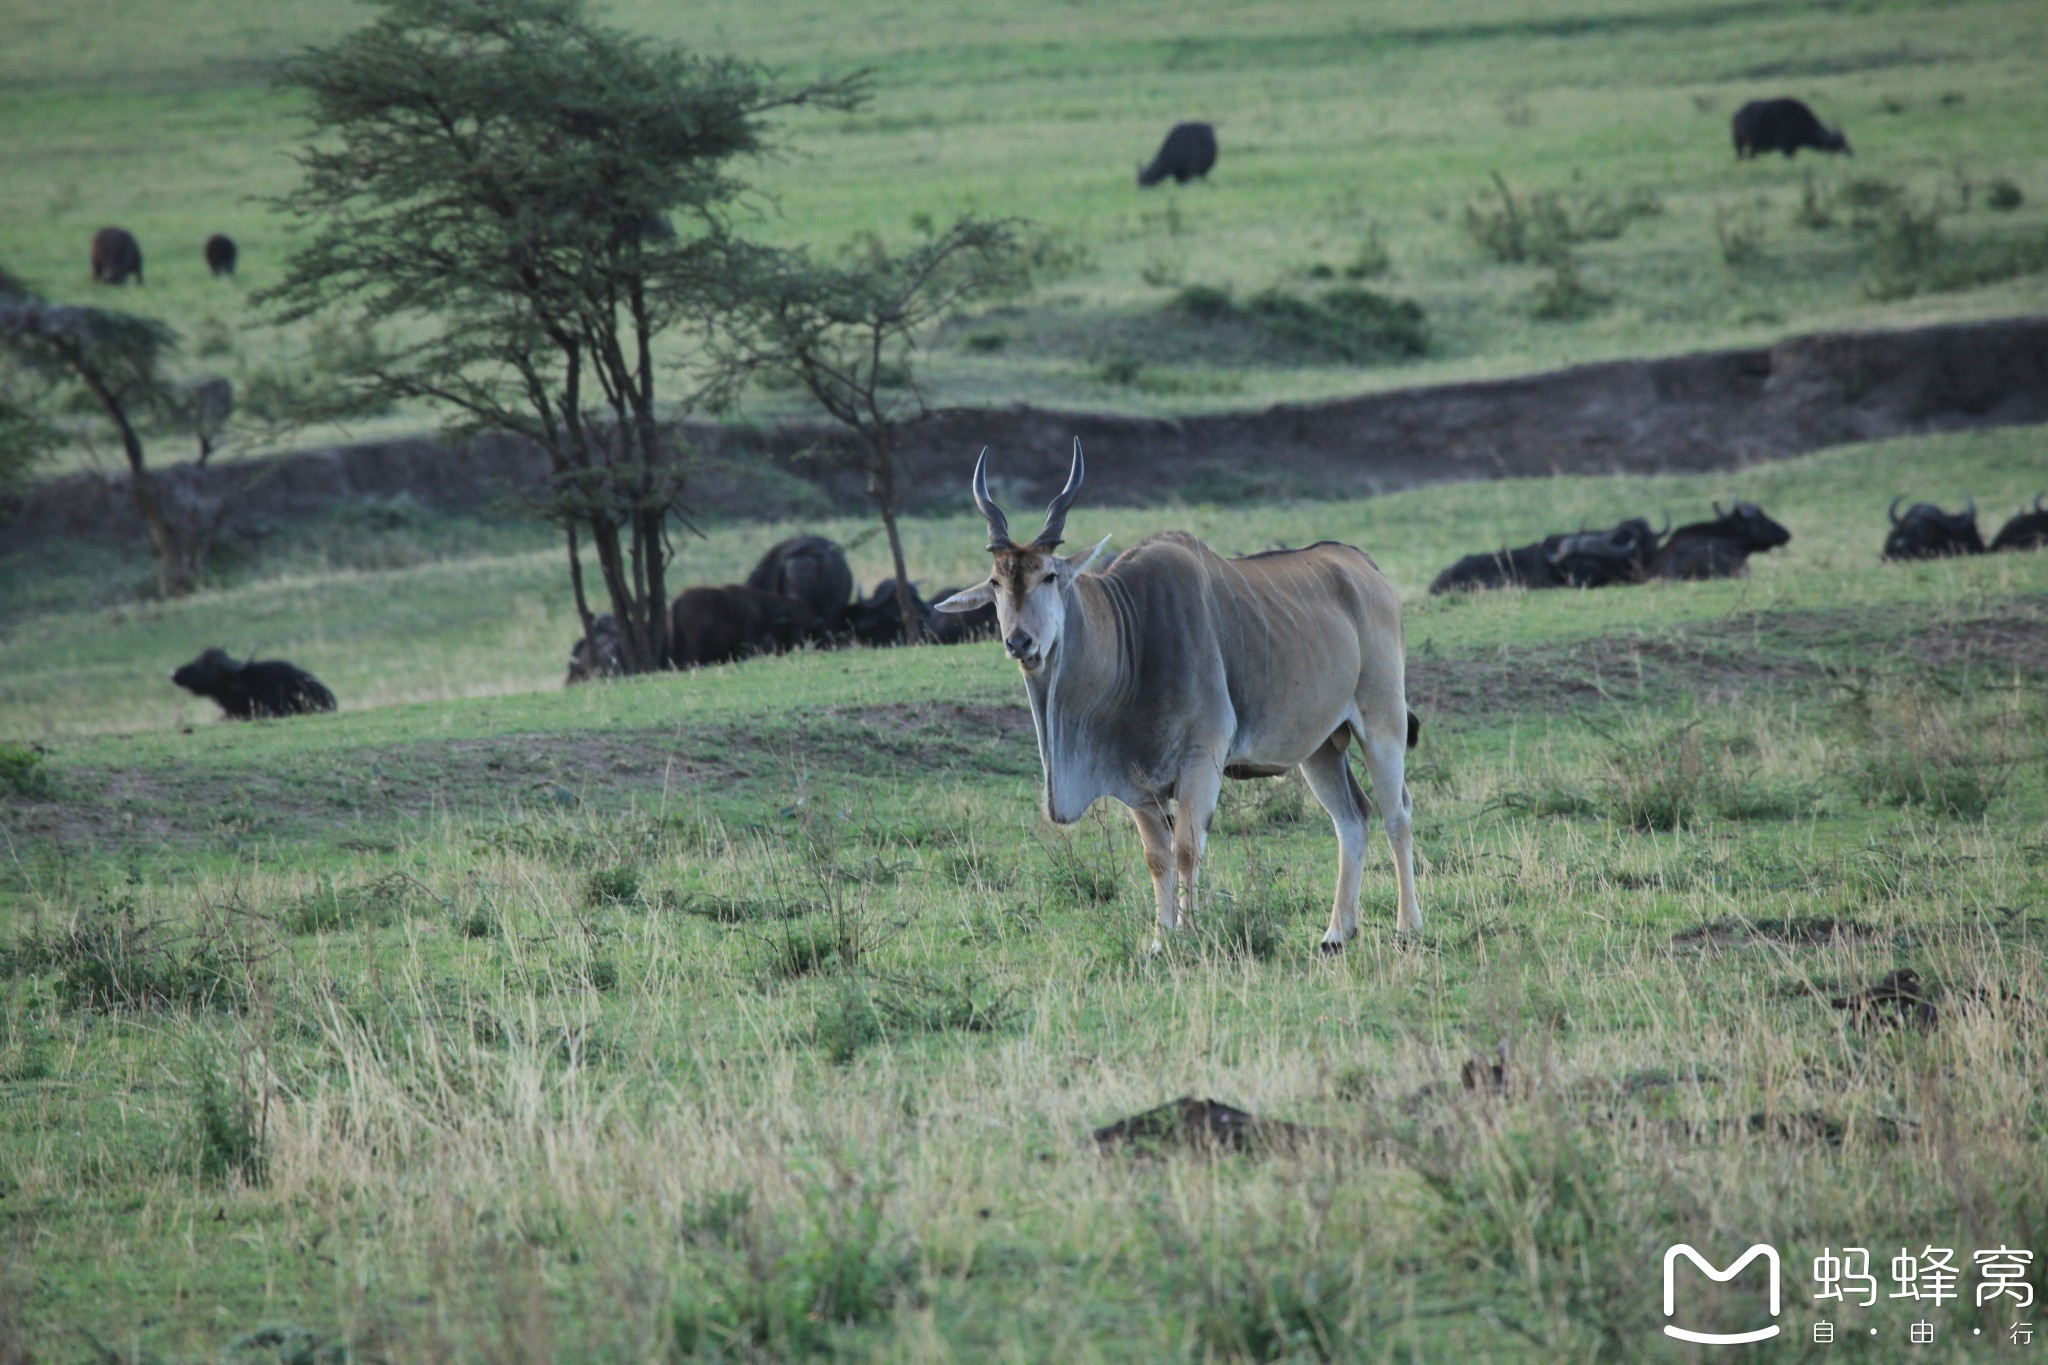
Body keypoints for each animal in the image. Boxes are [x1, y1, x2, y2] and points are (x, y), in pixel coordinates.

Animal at [659, 585, 811, 671]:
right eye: (800, 608)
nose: (815, 619)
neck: (761, 607)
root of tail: (678, 601)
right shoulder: (748, 639)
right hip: (693, 642)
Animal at [937, 439, 1417, 949]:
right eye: (996, 582)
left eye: (1049, 576)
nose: (1019, 642)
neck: (1132, 635)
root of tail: (1366, 568)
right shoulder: (1138, 784)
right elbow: (1157, 856)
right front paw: (1159, 940)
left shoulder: (1201, 762)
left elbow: (1187, 850)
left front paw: (1190, 934)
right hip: (1321, 747)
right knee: (1352, 817)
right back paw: (1336, 933)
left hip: (1382, 725)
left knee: (1396, 813)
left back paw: (1408, 927)